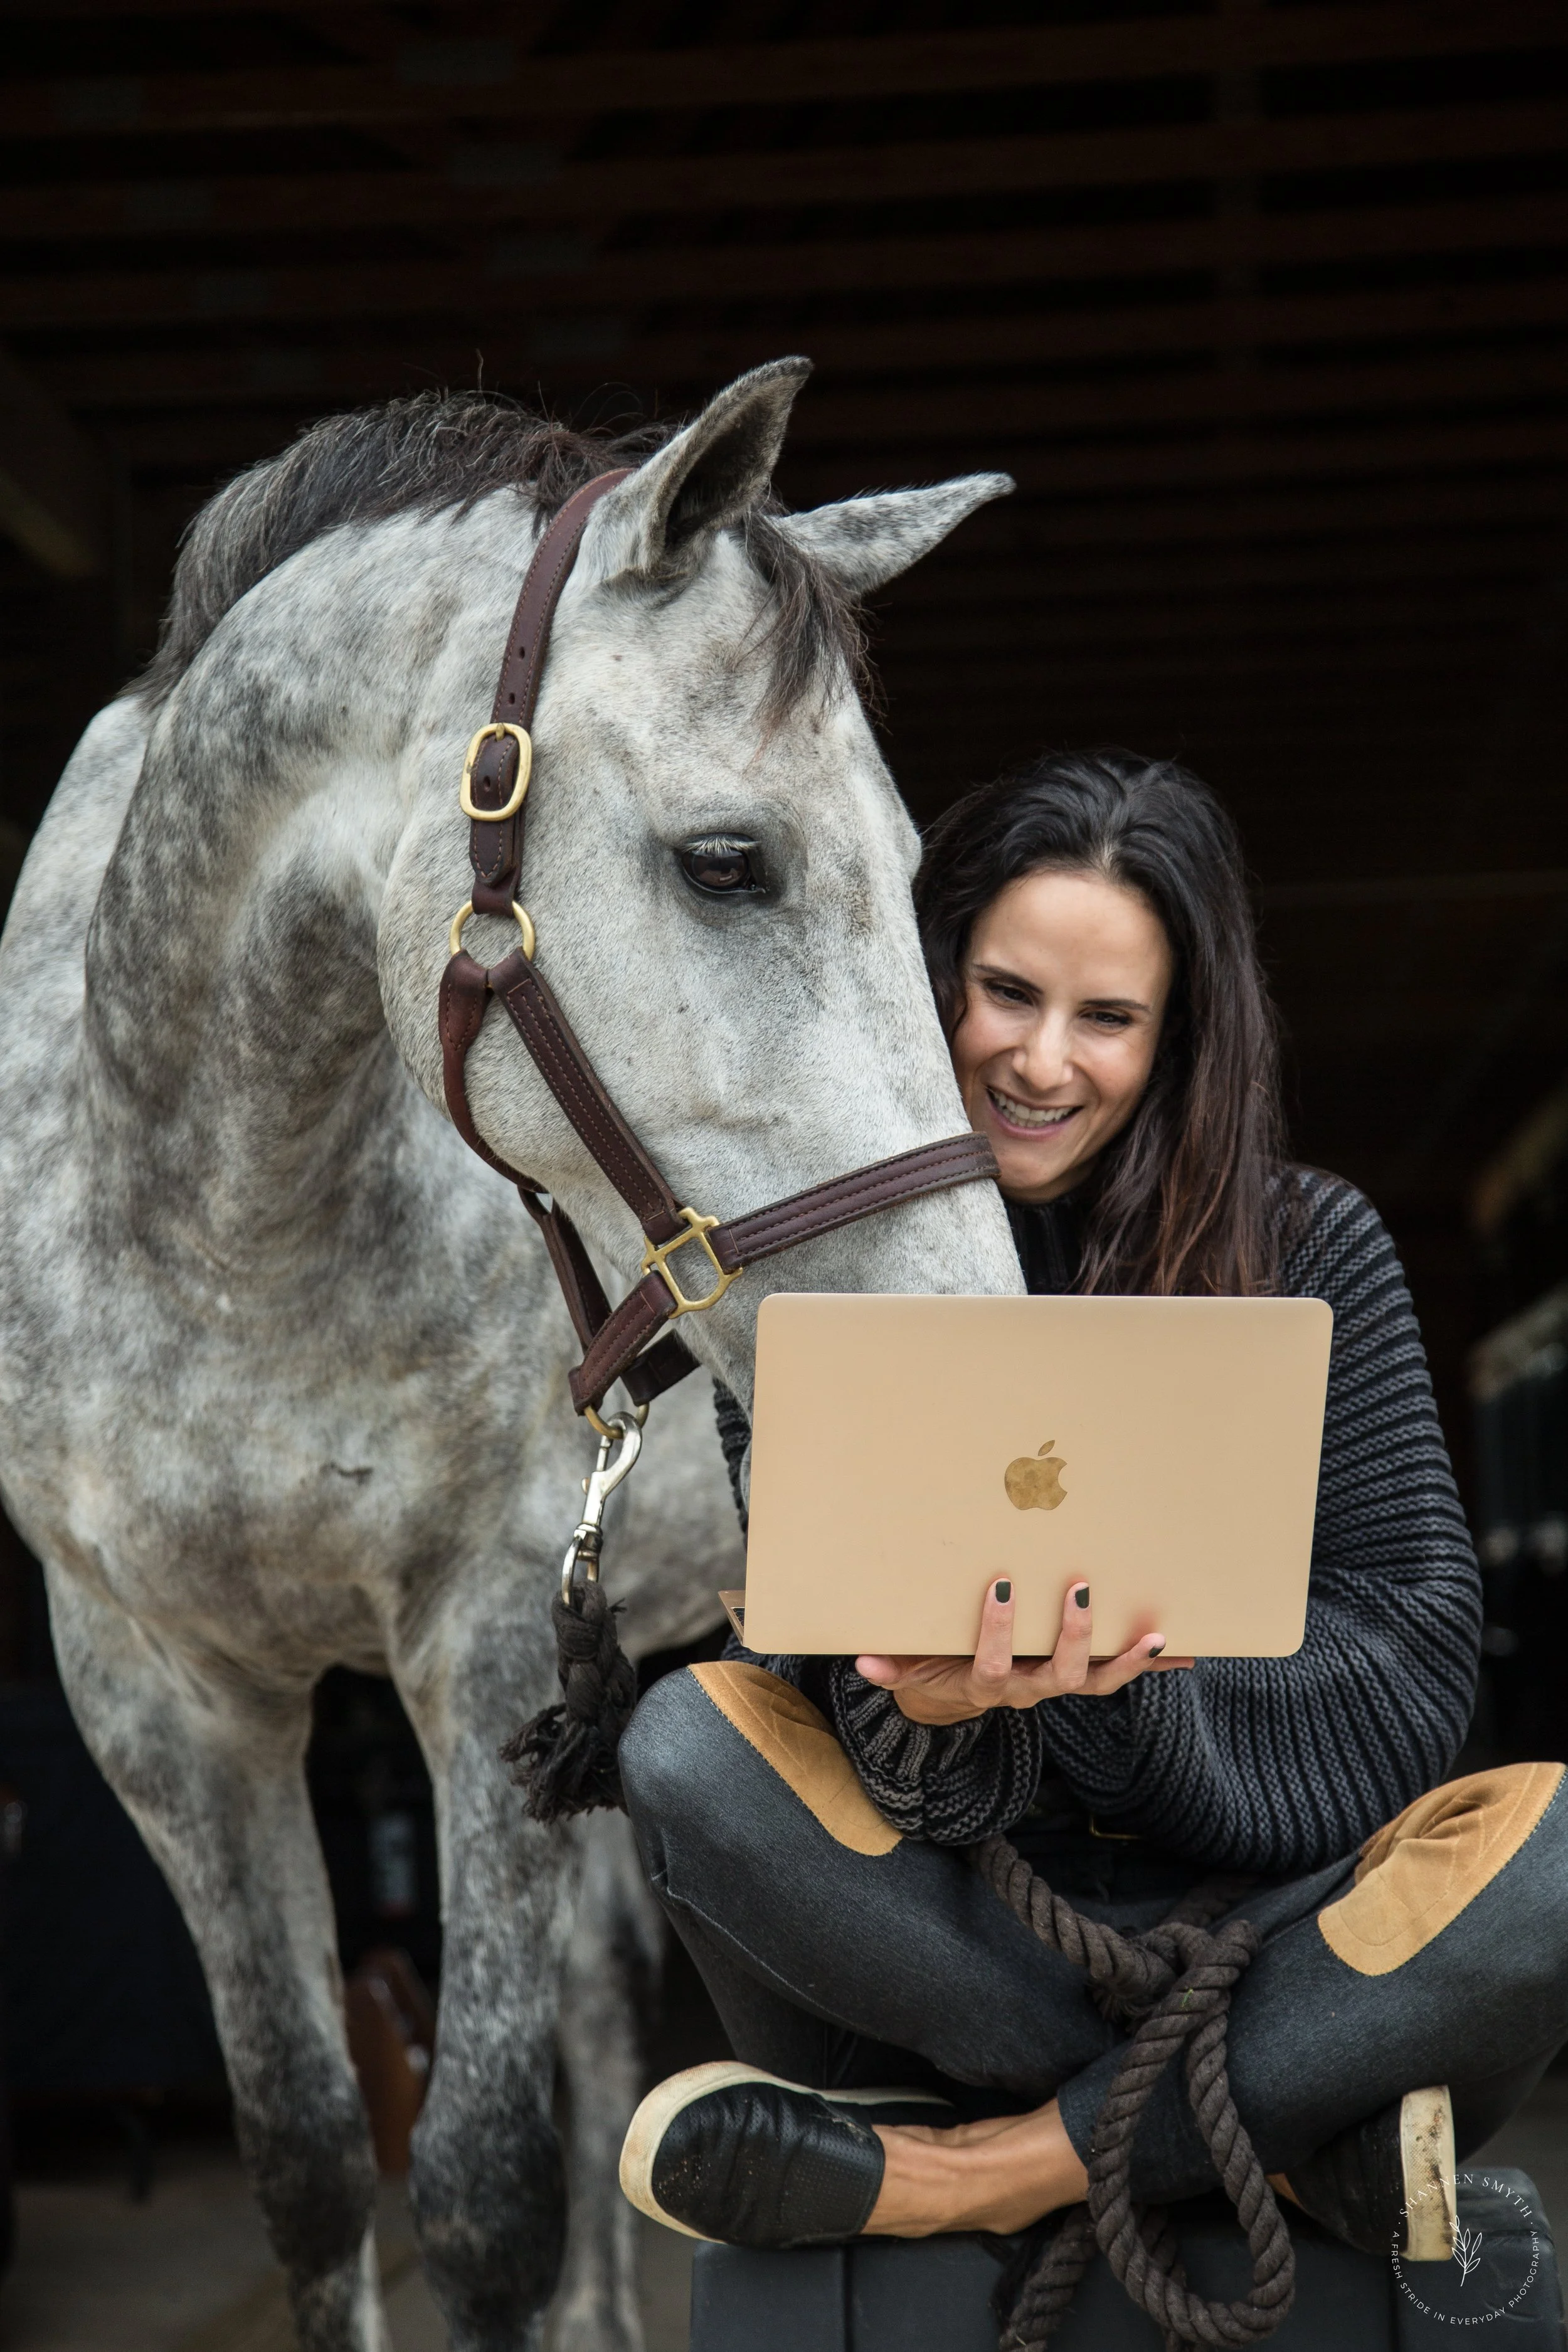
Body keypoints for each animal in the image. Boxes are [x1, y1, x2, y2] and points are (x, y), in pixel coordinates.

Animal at [0, 357, 1022, 2350]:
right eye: (727, 861)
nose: (968, 1381)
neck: (224, 1226)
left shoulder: (481, 1649)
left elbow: (484, 2188)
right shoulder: (157, 1695)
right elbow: (314, 2161)